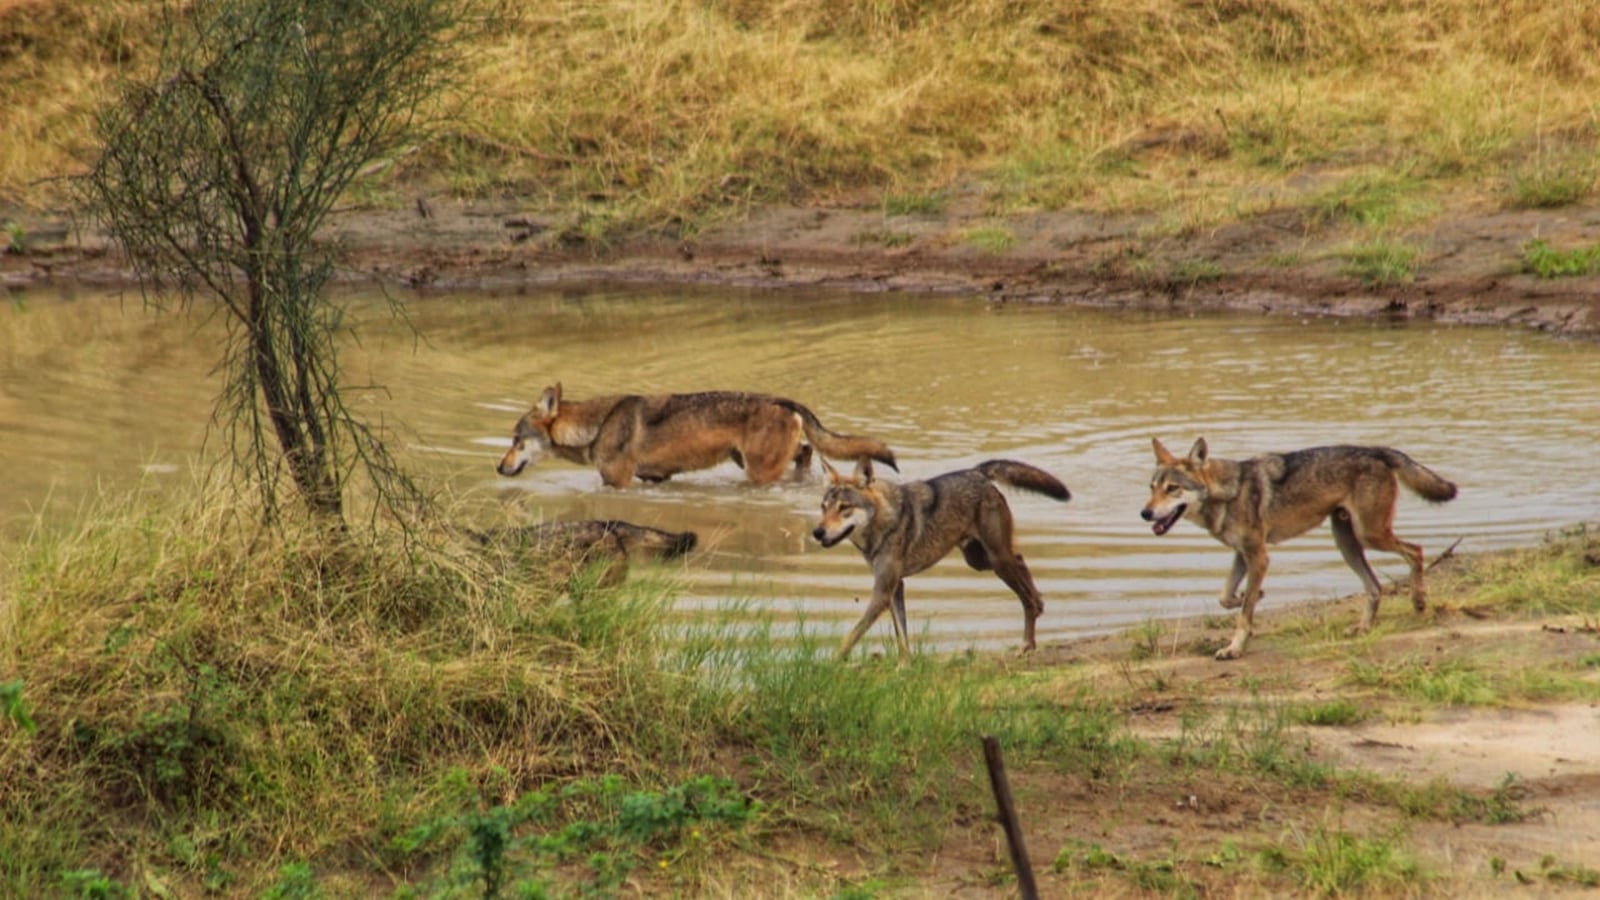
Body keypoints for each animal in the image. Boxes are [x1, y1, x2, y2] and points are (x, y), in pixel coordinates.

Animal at [497, 383, 898, 488]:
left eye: (516, 440)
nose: (499, 468)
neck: (596, 426)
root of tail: (782, 399)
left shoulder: (619, 483)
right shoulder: (656, 479)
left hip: (757, 473)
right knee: (805, 453)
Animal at [811, 458, 1071, 659]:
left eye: (844, 507)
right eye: (823, 507)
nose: (817, 532)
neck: (883, 521)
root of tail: (977, 471)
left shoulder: (882, 592)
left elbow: (850, 637)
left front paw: (829, 665)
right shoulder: (895, 587)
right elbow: (901, 637)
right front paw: (904, 666)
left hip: (997, 561)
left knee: (1025, 595)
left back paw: (1028, 643)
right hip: (980, 561)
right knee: (1021, 560)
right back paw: (1038, 605)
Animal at [1141, 437, 1458, 660]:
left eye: (1172, 489)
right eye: (1151, 488)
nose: (1145, 513)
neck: (1229, 493)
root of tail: (1376, 450)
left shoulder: (1259, 556)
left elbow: (1243, 614)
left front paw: (1235, 648)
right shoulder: (1242, 555)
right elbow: (1225, 597)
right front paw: (1250, 596)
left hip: (1370, 536)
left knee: (1415, 551)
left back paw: (1419, 602)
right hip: (1347, 543)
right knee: (1376, 586)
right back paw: (1363, 627)